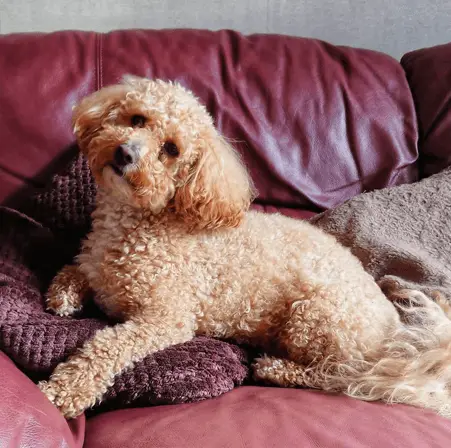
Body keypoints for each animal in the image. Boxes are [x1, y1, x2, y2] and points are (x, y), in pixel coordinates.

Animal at [38, 75, 451, 418]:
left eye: (171, 149)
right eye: (137, 119)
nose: (125, 153)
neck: (141, 222)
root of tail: (393, 332)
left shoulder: (164, 319)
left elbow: (107, 347)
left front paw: (64, 391)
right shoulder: (94, 265)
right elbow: (74, 269)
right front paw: (63, 295)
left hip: (314, 316)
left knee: (338, 376)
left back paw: (275, 368)